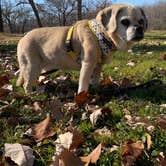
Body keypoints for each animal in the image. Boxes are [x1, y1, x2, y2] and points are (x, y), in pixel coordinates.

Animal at [16, 3, 147, 93]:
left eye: (141, 21)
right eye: (125, 22)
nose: (139, 28)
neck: (100, 35)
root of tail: (23, 37)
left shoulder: (98, 66)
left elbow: (95, 81)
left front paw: (96, 90)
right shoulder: (87, 65)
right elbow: (83, 85)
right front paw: (83, 98)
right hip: (32, 67)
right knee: (26, 85)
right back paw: (32, 94)